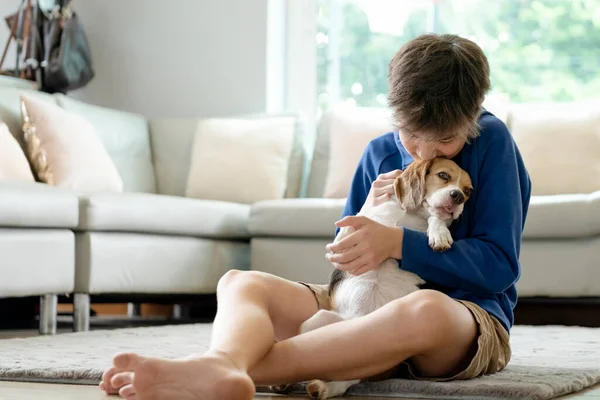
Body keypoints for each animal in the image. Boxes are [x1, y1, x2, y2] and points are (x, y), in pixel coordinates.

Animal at [300, 158, 474, 398]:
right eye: (443, 175)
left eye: (468, 192)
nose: (458, 197)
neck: (410, 214)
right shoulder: (346, 236)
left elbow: (436, 217)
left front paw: (439, 234)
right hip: (315, 322)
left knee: (347, 377)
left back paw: (322, 387)